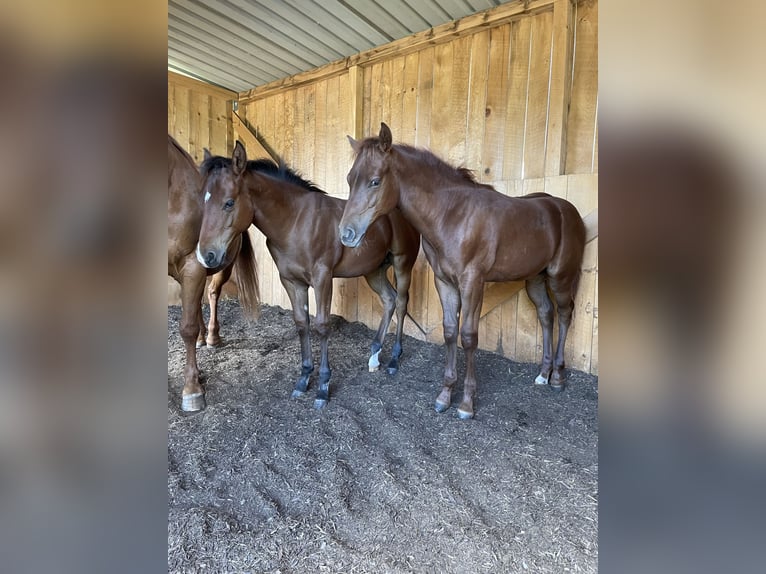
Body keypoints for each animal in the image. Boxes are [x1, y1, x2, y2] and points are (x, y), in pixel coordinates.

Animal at [168, 135, 260, 412]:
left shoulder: (194, 265)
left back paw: (210, 336)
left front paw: (192, 390)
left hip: (219, 267)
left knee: (212, 294)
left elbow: (186, 327)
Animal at [196, 141, 420, 409]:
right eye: (203, 201)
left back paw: (394, 360)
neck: (295, 222)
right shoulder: (292, 282)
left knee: (401, 302)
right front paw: (303, 380)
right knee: (388, 300)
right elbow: (302, 324)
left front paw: (323, 387)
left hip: (403, 263)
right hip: (373, 270)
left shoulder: (322, 279)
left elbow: (322, 326)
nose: (206, 255)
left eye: (229, 202)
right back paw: (374, 357)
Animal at [339, 123, 586, 419]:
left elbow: (468, 336)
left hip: (561, 277)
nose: (346, 234)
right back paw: (543, 374)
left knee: (565, 314)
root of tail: (567, 210)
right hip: (535, 279)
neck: (453, 215)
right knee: (546, 314)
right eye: (350, 179)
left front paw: (467, 403)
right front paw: (445, 395)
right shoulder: (444, 282)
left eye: (375, 181)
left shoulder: (472, 282)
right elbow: (449, 332)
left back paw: (558, 376)